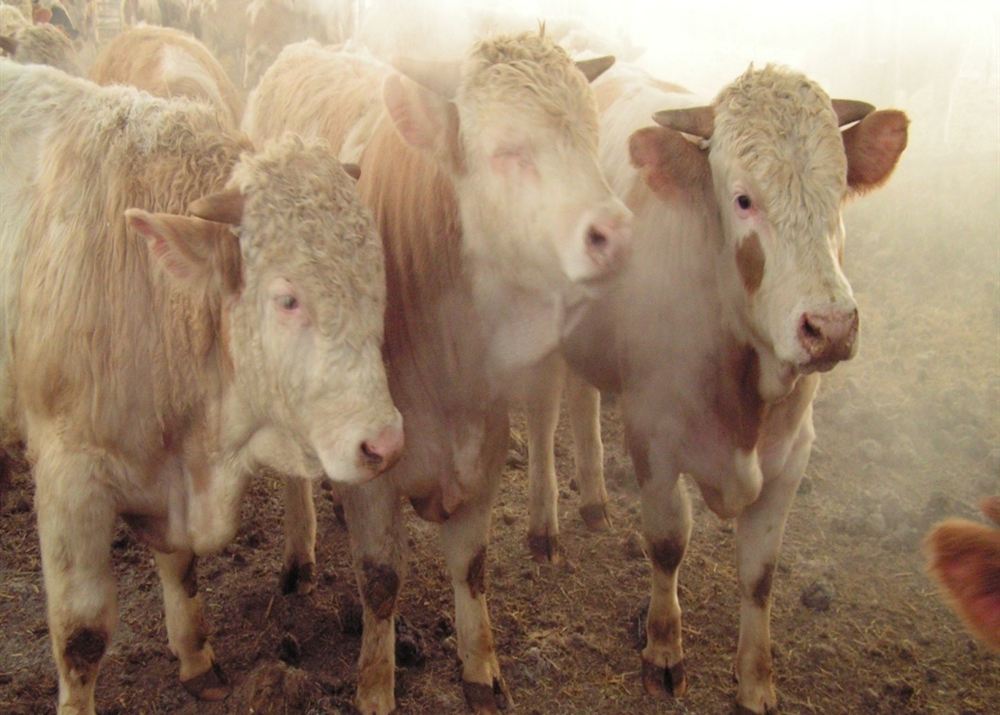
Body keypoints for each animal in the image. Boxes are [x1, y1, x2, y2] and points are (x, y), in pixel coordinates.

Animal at [0, 60, 403, 714]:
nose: (385, 445)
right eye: (287, 298)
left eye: (378, 282)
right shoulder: (69, 479)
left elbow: (180, 565)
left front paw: (195, 656)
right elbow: (81, 634)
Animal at [244, 33, 631, 713]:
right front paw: (375, 685)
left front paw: (481, 669)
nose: (615, 234)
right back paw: (299, 556)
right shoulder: (376, 477)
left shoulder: (485, 451)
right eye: (507, 150)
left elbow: (472, 566)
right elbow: (381, 580)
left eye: (590, 137)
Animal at [521, 63, 908, 713]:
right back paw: (545, 528)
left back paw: (596, 501)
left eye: (839, 193)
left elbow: (760, 572)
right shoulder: (653, 439)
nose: (830, 327)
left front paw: (755, 680)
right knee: (544, 416)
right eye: (743, 199)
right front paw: (663, 651)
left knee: (582, 398)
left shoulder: (791, 457)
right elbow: (667, 541)